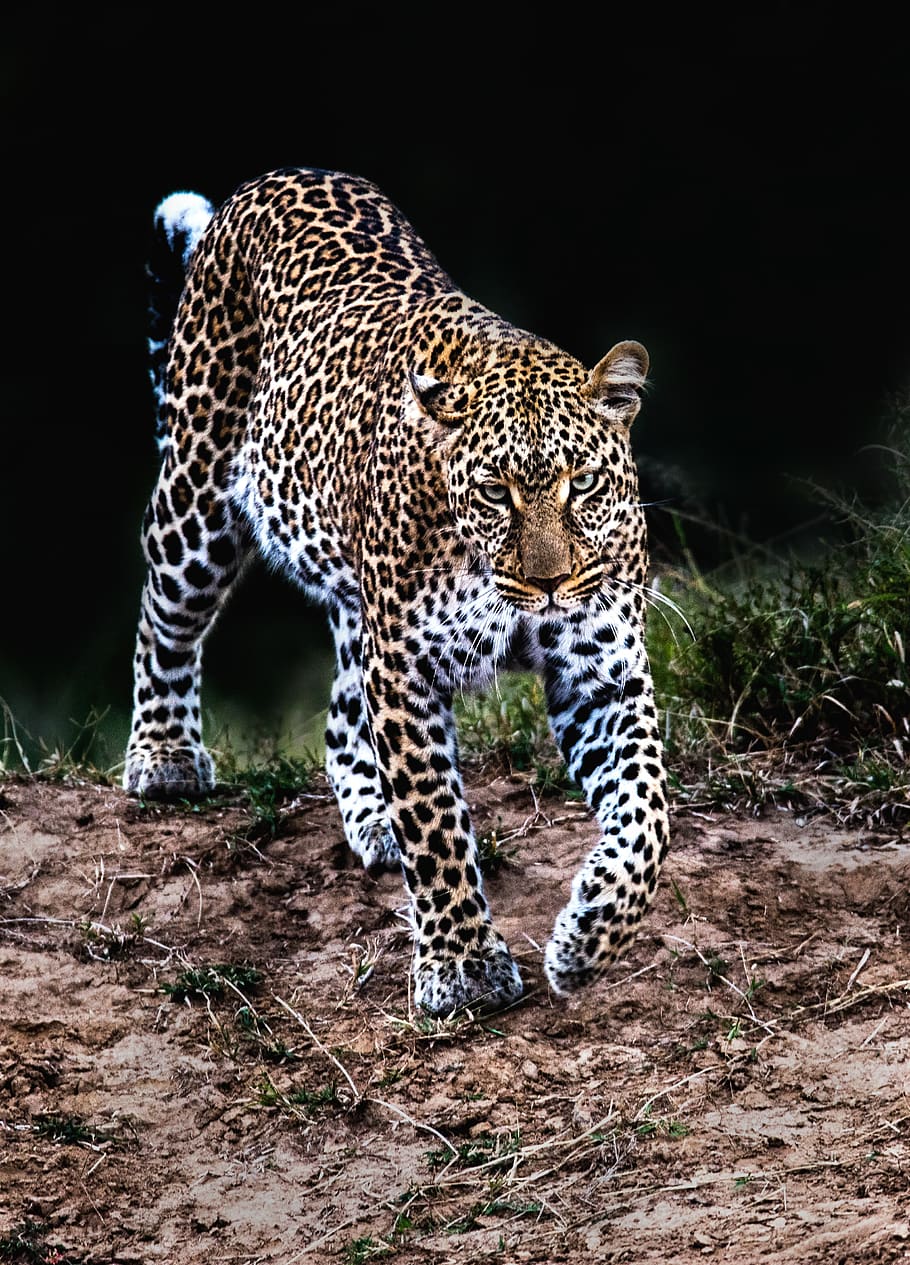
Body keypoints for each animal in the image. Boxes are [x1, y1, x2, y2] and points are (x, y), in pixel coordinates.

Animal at [124, 166, 670, 1017]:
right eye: (494, 491)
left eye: (582, 483)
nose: (549, 583)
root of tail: (274, 178)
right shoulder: (408, 670)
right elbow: (437, 822)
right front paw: (464, 966)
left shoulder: (602, 672)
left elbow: (648, 813)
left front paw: (588, 938)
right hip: (198, 501)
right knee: (166, 622)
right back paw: (166, 756)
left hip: (357, 604)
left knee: (341, 713)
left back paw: (371, 815)